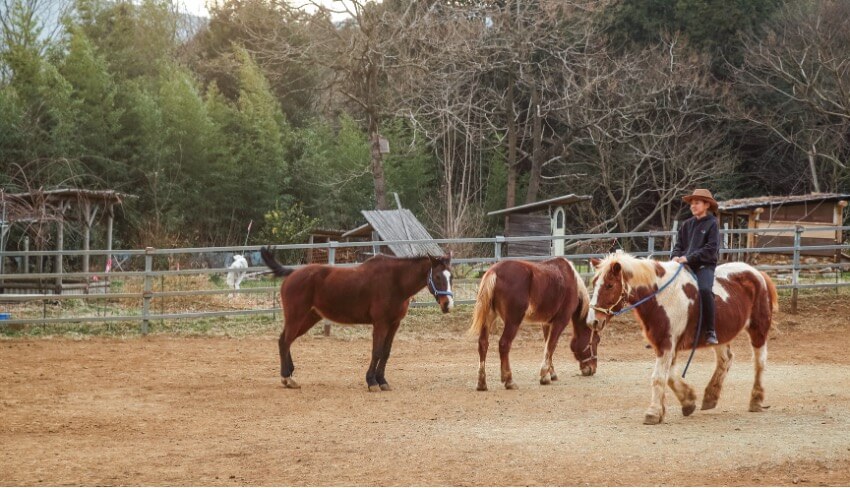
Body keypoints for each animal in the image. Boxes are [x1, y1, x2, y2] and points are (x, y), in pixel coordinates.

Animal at [262, 246, 454, 390]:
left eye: (451, 276)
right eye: (437, 276)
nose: (448, 304)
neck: (395, 281)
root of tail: (292, 273)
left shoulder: (394, 324)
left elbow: (386, 352)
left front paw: (382, 381)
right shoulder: (381, 323)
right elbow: (377, 351)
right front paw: (372, 382)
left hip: (309, 318)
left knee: (286, 340)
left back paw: (289, 374)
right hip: (296, 316)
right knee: (285, 341)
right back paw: (287, 378)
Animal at [468, 258, 592, 390]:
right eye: (593, 342)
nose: (592, 369)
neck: (570, 279)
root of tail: (494, 271)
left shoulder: (546, 323)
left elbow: (547, 346)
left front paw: (551, 374)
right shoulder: (560, 321)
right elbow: (551, 345)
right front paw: (544, 377)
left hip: (489, 317)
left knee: (483, 344)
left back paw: (482, 383)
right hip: (513, 321)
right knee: (504, 344)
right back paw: (509, 381)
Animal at [588, 254, 780, 426]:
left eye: (609, 285)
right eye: (594, 284)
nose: (593, 321)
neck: (661, 297)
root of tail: (758, 274)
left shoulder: (666, 343)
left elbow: (659, 377)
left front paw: (653, 413)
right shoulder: (665, 344)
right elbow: (670, 377)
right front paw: (688, 401)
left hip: (758, 329)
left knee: (759, 362)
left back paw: (756, 399)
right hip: (720, 335)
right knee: (725, 360)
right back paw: (710, 397)